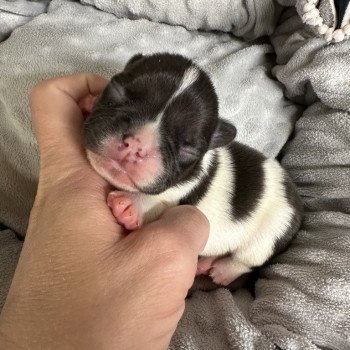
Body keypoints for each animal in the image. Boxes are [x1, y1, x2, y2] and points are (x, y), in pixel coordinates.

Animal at [83, 53, 302, 286]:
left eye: (188, 151)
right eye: (116, 91)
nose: (135, 144)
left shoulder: (180, 190)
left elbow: (161, 197)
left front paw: (131, 203)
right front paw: (89, 100)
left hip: (269, 234)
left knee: (245, 261)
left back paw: (223, 271)